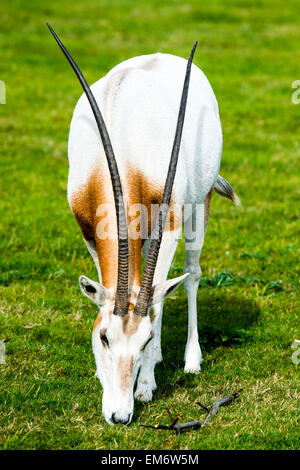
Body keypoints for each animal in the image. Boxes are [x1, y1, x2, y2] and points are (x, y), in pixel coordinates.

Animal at [47, 24, 239, 426]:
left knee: (191, 275)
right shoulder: (90, 232)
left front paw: (147, 384)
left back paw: (190, 358)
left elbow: (156, 304)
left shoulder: (170, 226)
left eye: (144, 340)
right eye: (104, 337)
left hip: (197, 208)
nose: (119, 415)